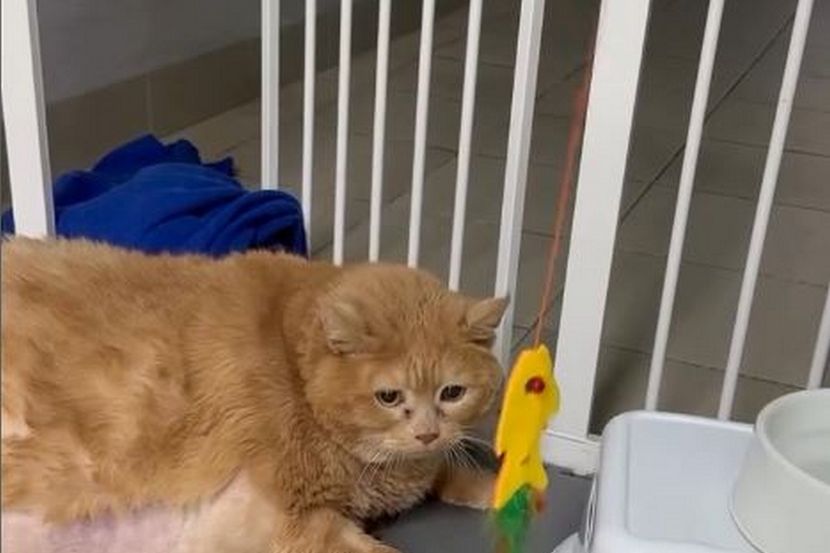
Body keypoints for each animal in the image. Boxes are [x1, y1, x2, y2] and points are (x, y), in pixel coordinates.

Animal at [1, 237, 507, 553]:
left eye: (452, 392)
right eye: (388, 397)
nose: (426, 433)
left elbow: (453, 472)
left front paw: (502, 486)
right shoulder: (294, 525)